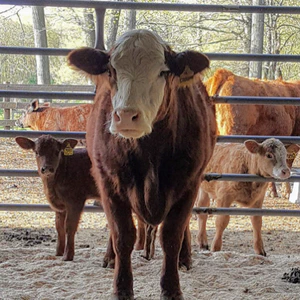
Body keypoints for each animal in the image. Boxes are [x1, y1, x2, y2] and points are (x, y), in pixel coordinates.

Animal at [68, 28, 217, 300]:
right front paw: (121, 287)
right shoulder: (109, 184)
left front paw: (171, 288)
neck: (149, 153)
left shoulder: (189, 183)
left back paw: (185, 259)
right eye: (111, 70)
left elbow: (172, 236)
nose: (126, 115)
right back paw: (110, 258)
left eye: (163, 71)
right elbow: (122, 235)